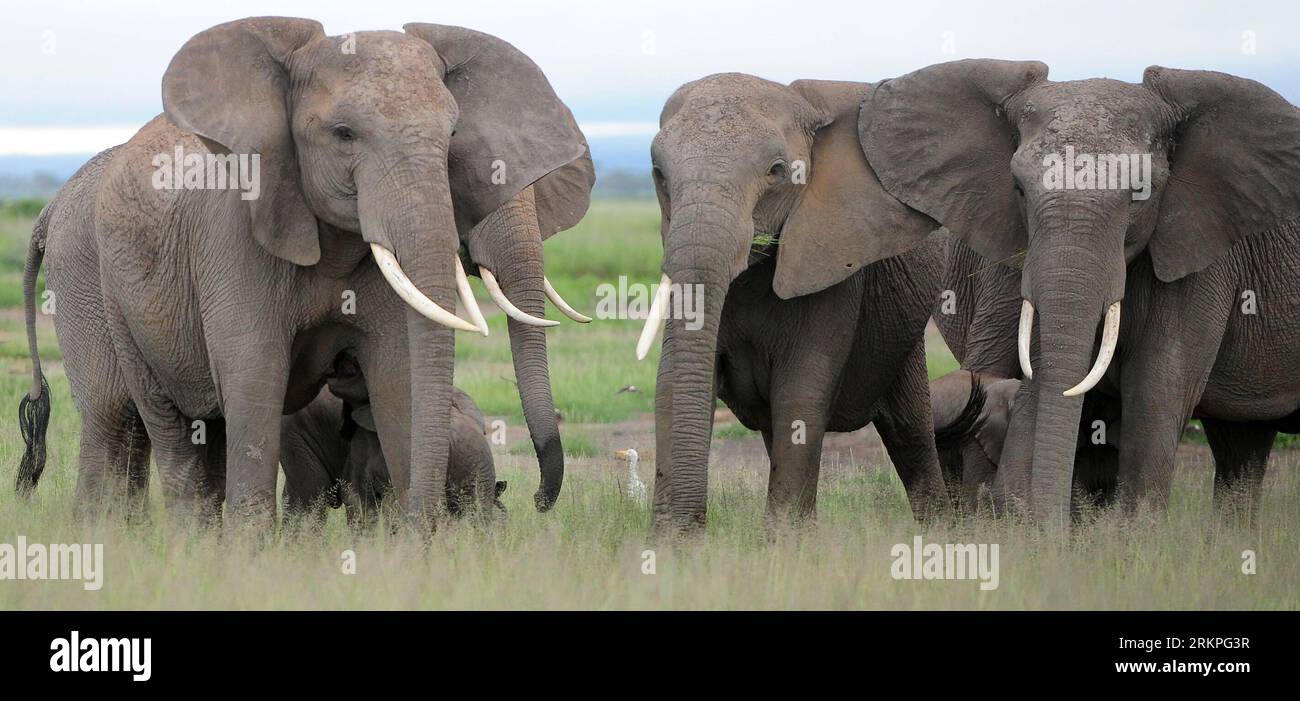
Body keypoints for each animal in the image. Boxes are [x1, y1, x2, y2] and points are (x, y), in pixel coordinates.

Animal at [644, 74, 951, 533]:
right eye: (659, 174)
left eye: (776, 172)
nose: (688, 529)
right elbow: (672, 381)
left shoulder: (834, 262)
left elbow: (800, 392)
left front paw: (785, 542)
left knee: (910, 432)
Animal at [847, 60, 1300, 525]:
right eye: (1018, 188)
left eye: (1141, 193)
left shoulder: (1197, 248)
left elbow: (1158, 388)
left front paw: (1133, 535)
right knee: (1241, 444)